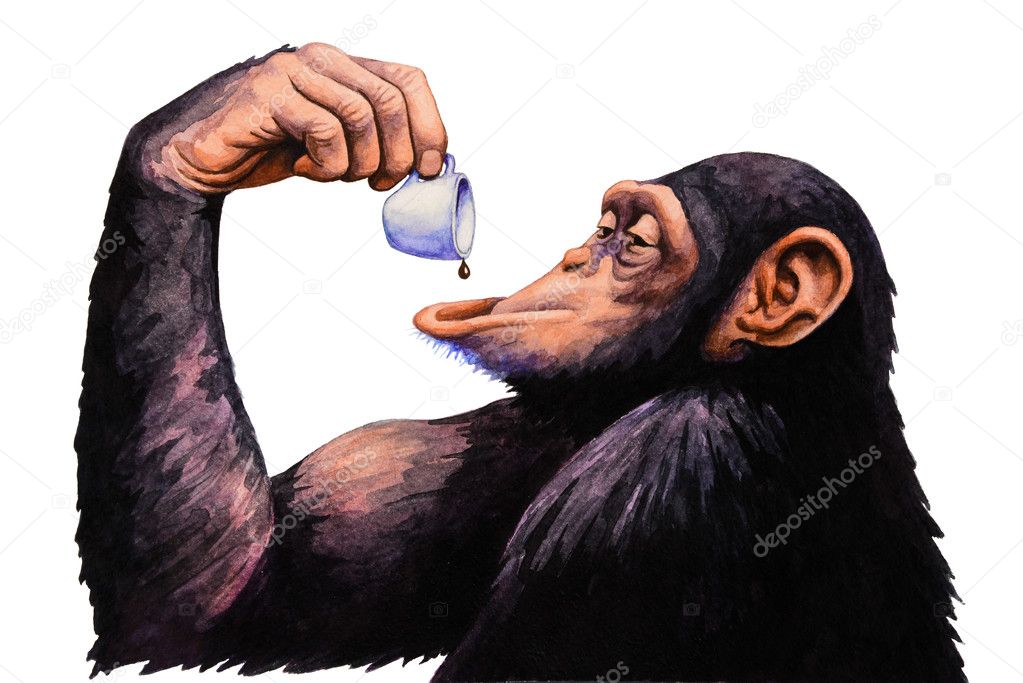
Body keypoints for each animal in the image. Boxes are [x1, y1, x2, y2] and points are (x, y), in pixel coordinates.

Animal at [75, 44, 964, 681]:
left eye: (635, 243)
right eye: (603, 227)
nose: (574, 255)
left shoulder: (668, 468)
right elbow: (219, 601)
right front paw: (262, 106)